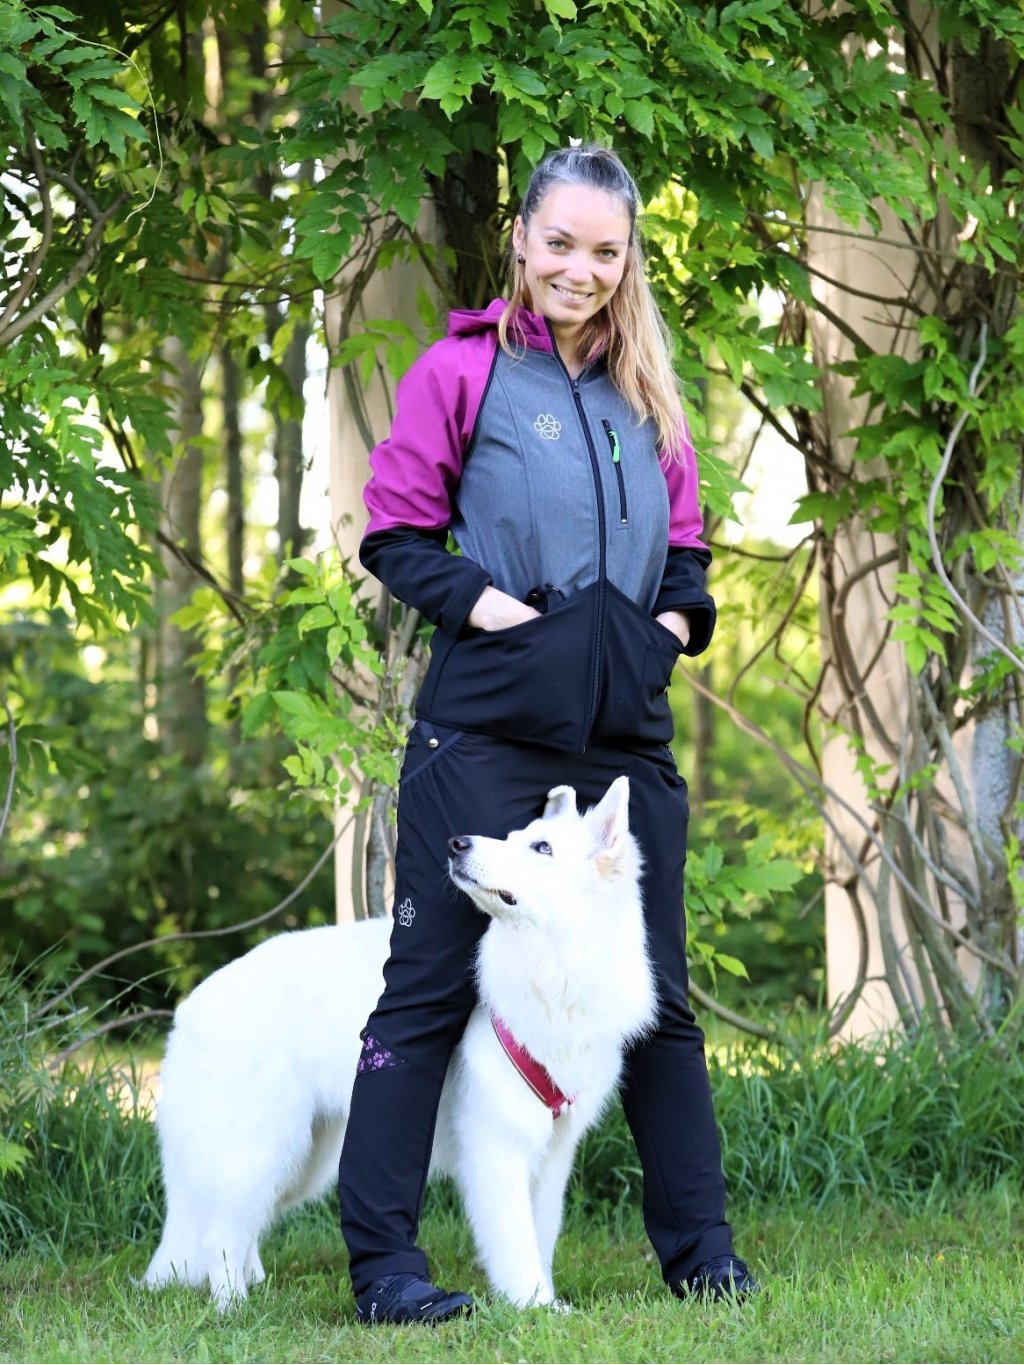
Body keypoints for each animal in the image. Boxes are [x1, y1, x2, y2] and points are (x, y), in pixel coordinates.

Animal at [142, 775, 658, 1304]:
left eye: (541, 847)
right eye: (519, 839)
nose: (456, 843)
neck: (556, 968)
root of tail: (189, 1008)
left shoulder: (553, 1156)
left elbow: (542, 1235)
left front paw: (544, 1301)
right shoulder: (498, 1148)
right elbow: (516, 1243)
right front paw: (534, 1306)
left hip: (305, 1161)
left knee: (241, 1225)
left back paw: (253, 1285)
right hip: (263, 1150)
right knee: (220, 1234)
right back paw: (234, 1306)